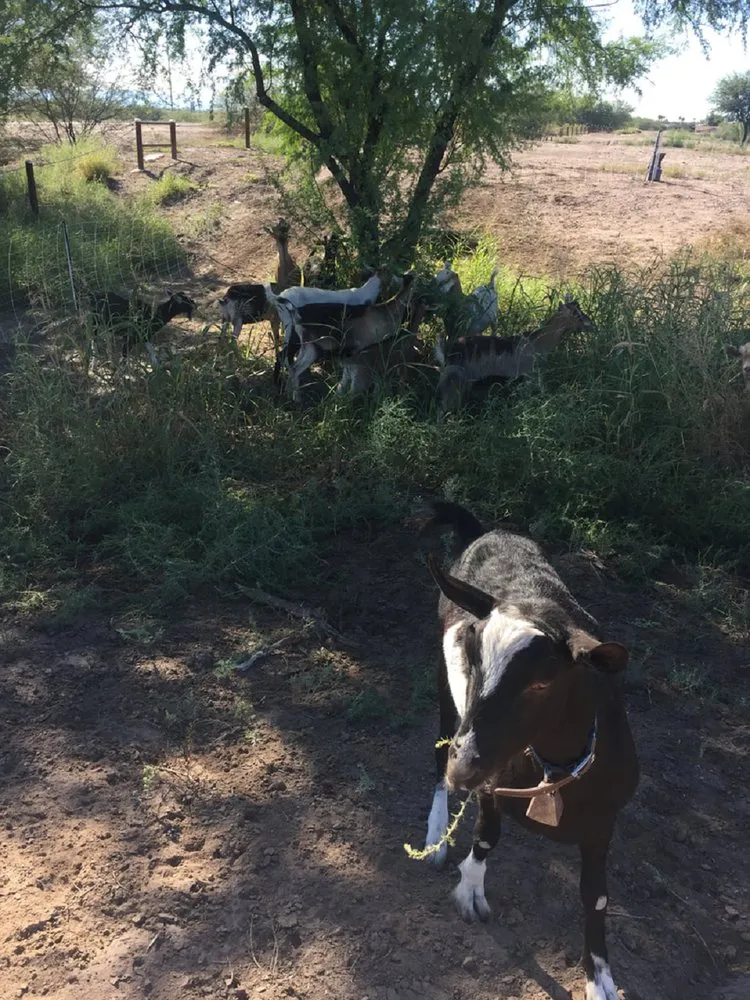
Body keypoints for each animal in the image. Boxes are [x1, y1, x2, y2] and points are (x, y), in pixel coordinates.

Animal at [284, 273, 416, 399]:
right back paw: (296, 397)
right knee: (294, 367)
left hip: (309, 347)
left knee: (294, 368)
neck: (388, 310)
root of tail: (296, 314)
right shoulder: (367, 347)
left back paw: (291, 395)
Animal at [420, 500, 638, 1000]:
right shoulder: (492, 782)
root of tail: (486, 532)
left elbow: (596, 894)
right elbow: (487, 835)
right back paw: (436, 835)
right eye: (472, 657)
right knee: (437, 754)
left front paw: (601, 978)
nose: (466, 767)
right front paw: (470, 890)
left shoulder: (605, 819)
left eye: (542, 682)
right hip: (445, 694)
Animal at [436, 296, 593, 415]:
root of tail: (448, 350)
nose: (592, 325)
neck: (538, 343)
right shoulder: (530, 376)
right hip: (454, 381)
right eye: (576, 314)